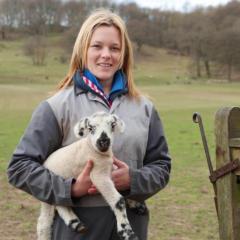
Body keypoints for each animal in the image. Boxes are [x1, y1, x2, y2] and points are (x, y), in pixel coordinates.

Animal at [37, 111, 139, 240]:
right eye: (90, 128)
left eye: (112, 125)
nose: (103, 141)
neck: (93, 149)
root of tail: (45, 163)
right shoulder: (98, 175)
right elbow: (118, 200)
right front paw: (127, 233)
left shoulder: (110, 169)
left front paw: (135, 202)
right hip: (49, 191)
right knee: (44, 221)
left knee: (61, 203)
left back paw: (75, 223)